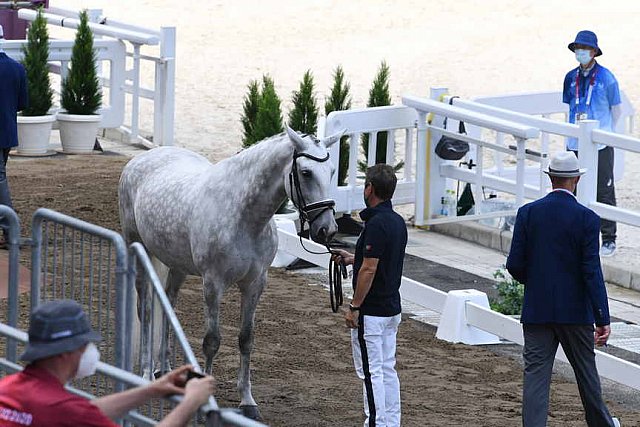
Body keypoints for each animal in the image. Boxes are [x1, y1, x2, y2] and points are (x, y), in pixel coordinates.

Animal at [117, 126, 342, 418]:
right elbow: (212, 340)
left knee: (167, 304)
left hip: (176, 265)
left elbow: (246, 339)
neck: (243, 215)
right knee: (144, 309)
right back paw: (144, 374)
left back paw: (163, 370)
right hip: (138, 249)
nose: (328, 229)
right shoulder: (213, 283)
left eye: (333, 171)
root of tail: (140, 159)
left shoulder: (255, 283)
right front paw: (205, 402)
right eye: (306, 172)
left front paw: (247, 401)